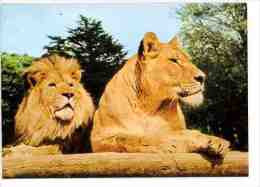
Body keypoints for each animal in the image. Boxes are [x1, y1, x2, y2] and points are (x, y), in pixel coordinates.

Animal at [90, 32, 231, 158]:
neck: (149, 105)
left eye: (189, 60)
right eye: (174, 60)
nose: (202, 77)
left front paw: (216, 142)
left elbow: (190, 133)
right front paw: (166, 144)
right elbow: (130, 138)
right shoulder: (99, 138)